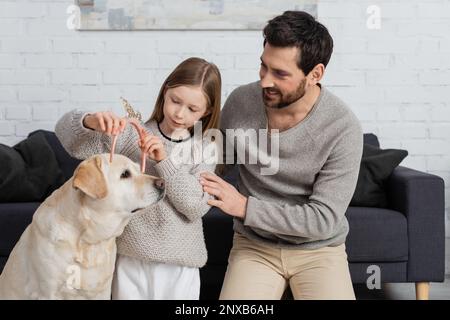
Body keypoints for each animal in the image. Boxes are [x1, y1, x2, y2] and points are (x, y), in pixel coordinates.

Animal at [0, 154, 163, 298]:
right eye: (125, 174)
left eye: (140, 170)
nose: (162, 183)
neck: (88, 242)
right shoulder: (47, 292)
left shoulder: (103, 291)